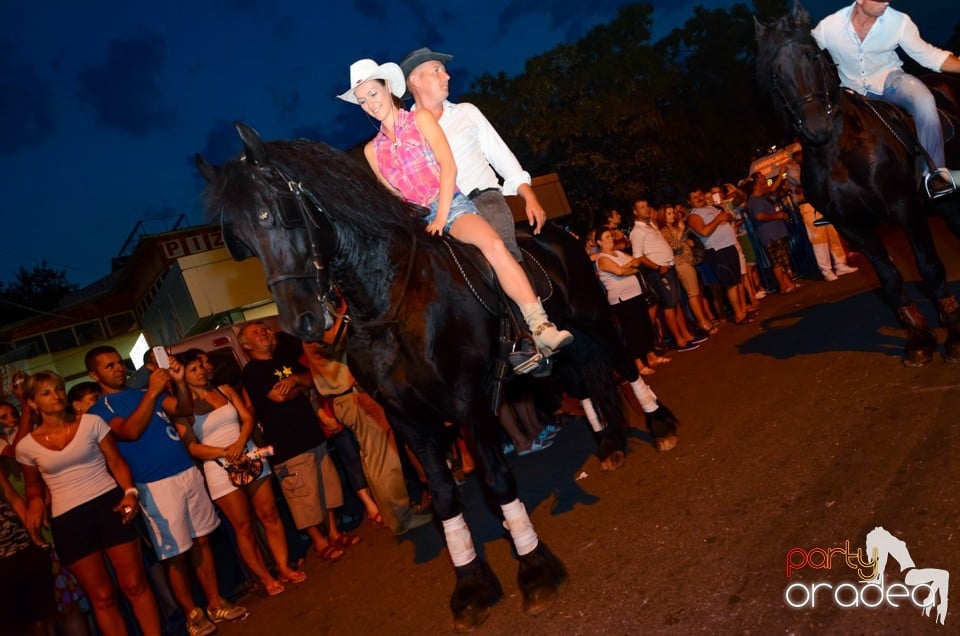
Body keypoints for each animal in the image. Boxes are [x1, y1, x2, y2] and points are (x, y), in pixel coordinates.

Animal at [193, 121, 676, 628]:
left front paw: (534, 567)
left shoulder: (470, 402)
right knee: (584, 382)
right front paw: (471, 583)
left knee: (623, 362)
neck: (392, 301)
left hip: (593, 315)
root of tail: (552, 232)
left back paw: (659, 424)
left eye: (272, 214)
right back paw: (609, 444)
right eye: (241, 241)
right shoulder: (408, 420)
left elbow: (497, 481)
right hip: (563, 351)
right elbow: (443, 496)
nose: (299, 321)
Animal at [756, 1, 960, 368]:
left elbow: (929, 266)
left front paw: (952, 333)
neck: (839, 151)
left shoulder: (906, 208)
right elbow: (889, 279)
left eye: (812, 55)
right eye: (775, 73)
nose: (815, 126)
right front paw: (918, 338)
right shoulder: (852, 226)